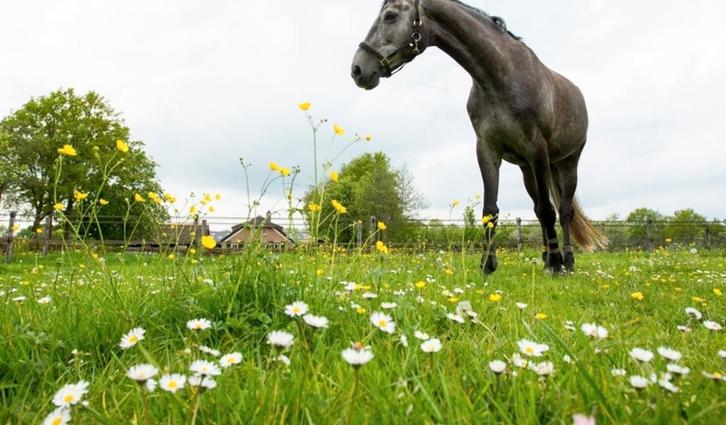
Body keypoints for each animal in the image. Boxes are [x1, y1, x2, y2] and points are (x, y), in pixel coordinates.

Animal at [351, 0, 607, 274]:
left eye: (390, 16)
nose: (358, 69)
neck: (500, 78)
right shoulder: (487, 150)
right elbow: (491, 209)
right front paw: (488, 265)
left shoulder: (538, 151)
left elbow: (550, 212)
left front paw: (558, 264)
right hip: (527, 170)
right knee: (539, 209)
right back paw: (546, 258)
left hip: (567, 163)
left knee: (564, 210)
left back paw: (566, 260)